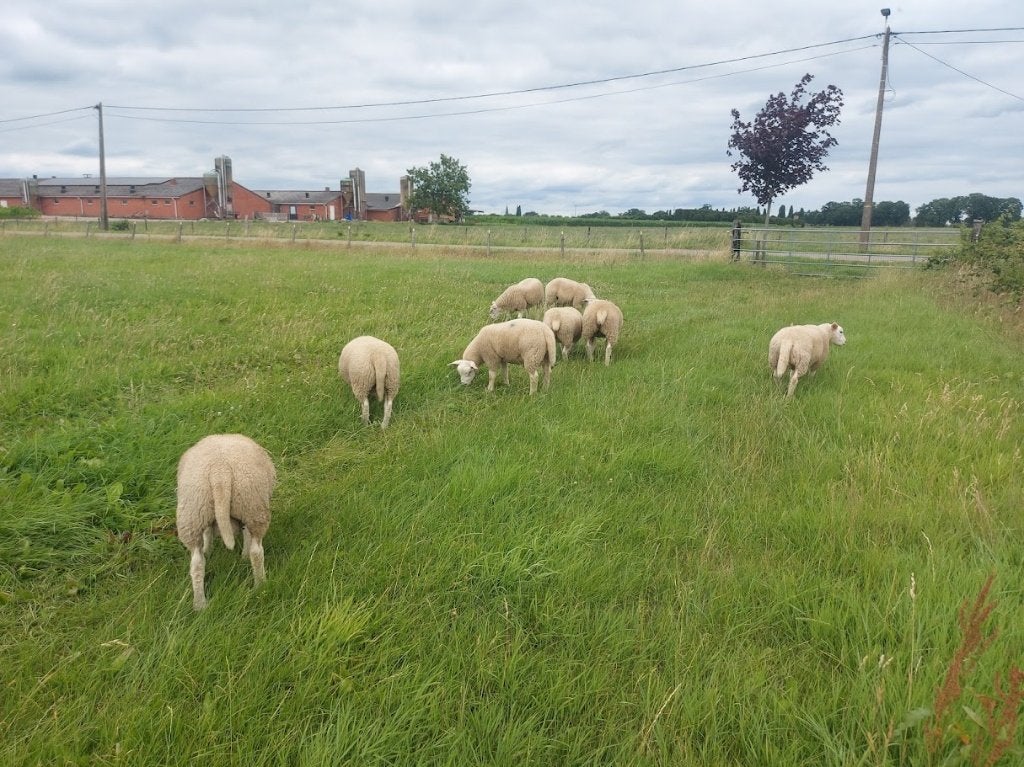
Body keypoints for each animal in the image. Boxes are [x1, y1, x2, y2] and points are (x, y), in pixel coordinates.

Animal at [176, 434, 277, 611]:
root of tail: (220, 471)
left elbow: (208, 532)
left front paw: (208, 549)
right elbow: (246, 535)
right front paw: (243, 555)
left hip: (193, 513)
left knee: (196, 563)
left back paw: (200, 605)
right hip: (253, 506)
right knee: (256, 552)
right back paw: (261, 585)